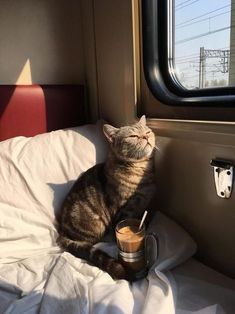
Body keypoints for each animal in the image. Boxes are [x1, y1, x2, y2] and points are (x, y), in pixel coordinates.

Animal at [57, 115, 156, 280]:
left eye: (148, 131)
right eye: (133, 136)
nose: (146, 136)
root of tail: (62, 233)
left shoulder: (145, 203)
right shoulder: (124, 209)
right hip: (95, 223)